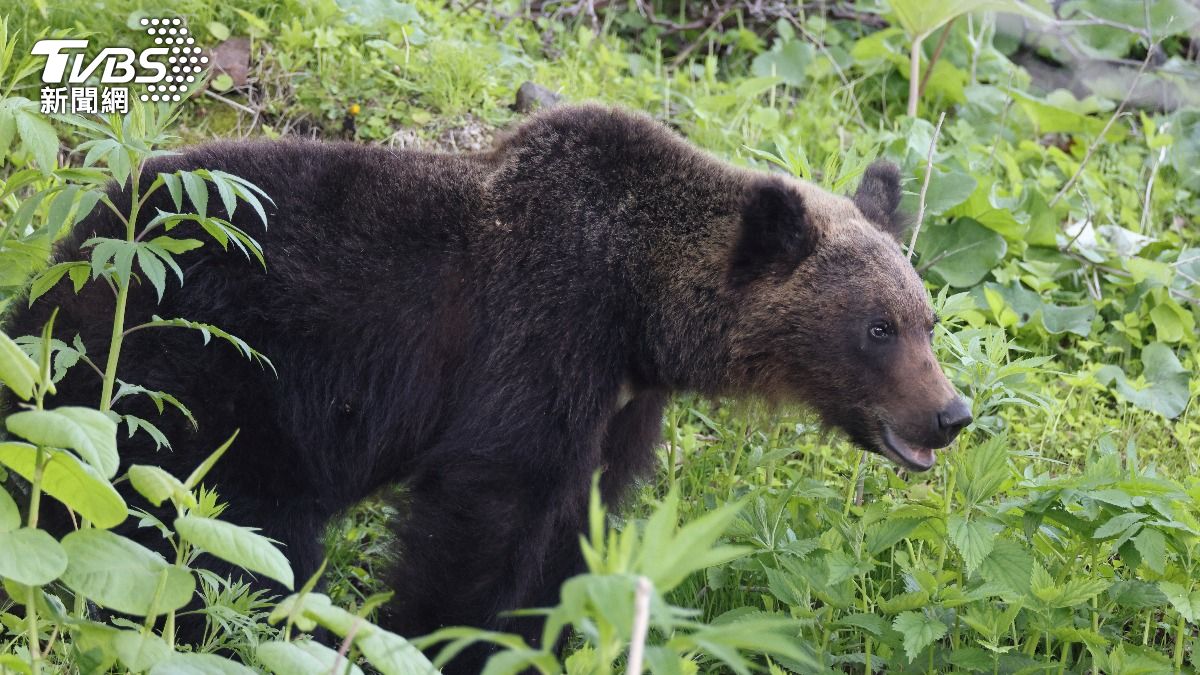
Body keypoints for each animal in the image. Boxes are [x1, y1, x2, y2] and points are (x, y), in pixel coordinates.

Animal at [2, 104, 972, 672]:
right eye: (878, 328)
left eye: (926, 318)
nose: (951, 412)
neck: (640, 311)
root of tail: (74, 254)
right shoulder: (536, 335)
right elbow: (487, 512)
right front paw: (439, 638)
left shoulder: (616, 406)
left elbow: (574, 527)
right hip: (196, 369)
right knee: (213, 533)